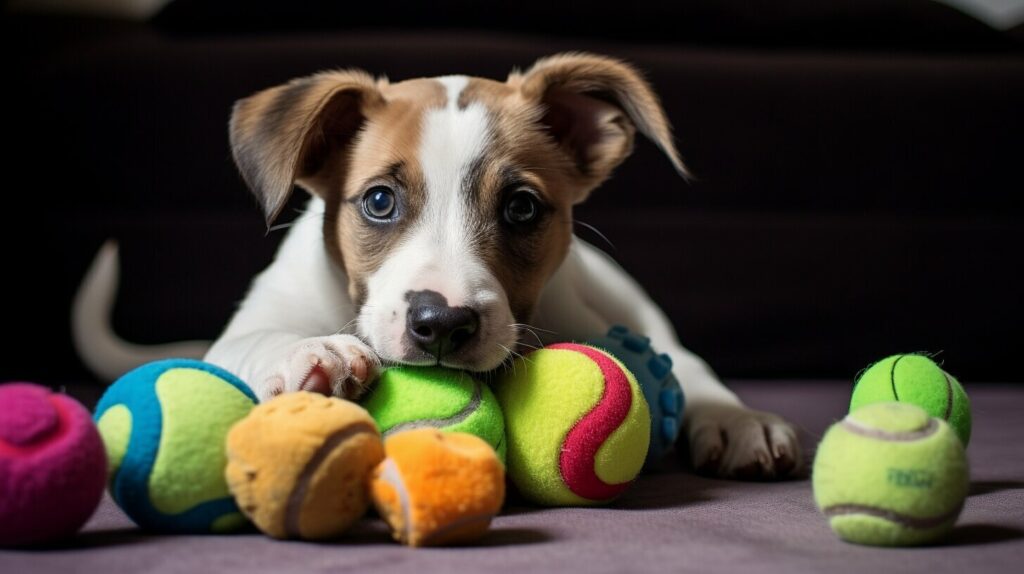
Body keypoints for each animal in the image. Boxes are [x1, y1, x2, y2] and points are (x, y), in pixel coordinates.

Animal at [75, 53, 802, 476]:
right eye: (378, 201)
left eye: (521, 208)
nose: (442, 325)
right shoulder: (242, 332)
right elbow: (262, 340)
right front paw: (317, 352)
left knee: (687, 360)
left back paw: (738, 421)